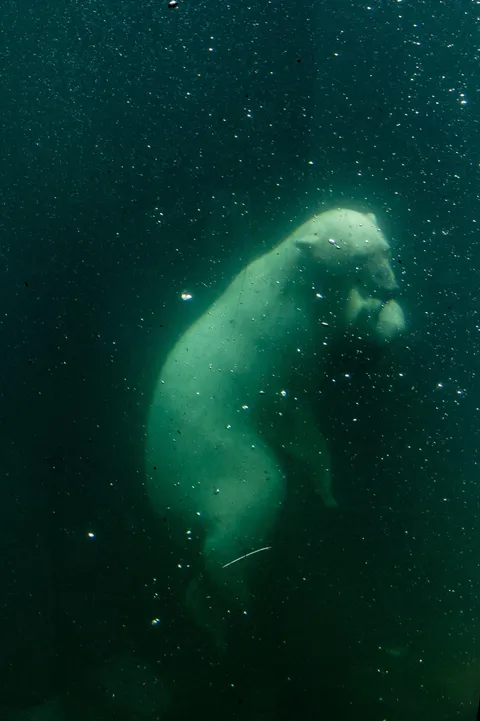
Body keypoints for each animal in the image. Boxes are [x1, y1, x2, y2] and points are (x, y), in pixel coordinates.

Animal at [145, 207, 406, 648]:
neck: (295, 278)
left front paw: (385, 313)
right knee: (255, 494)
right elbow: (295, 411)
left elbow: (355, 332)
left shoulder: (322, 314)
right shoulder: (284, 335)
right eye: (358, 257)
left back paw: (207, 613)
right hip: (209, 449)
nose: (388, 284)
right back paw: (237, 600)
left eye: (384, 248)